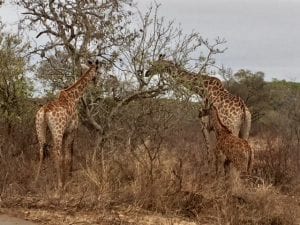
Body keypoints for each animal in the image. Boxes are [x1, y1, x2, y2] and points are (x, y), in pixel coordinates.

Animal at [34, 59, 101, 188]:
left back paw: (36, 181)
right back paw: (60, 184)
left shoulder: (66, 132)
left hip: (39, 128)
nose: (96, 81)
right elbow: (69, 153)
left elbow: (66, 154)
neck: (74, 97)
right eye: (98, 71)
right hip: (57, 131)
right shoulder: (72, 129)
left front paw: (67, 176)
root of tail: (45, 111)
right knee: (56, 153)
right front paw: (68, 177)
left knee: (41, 152)